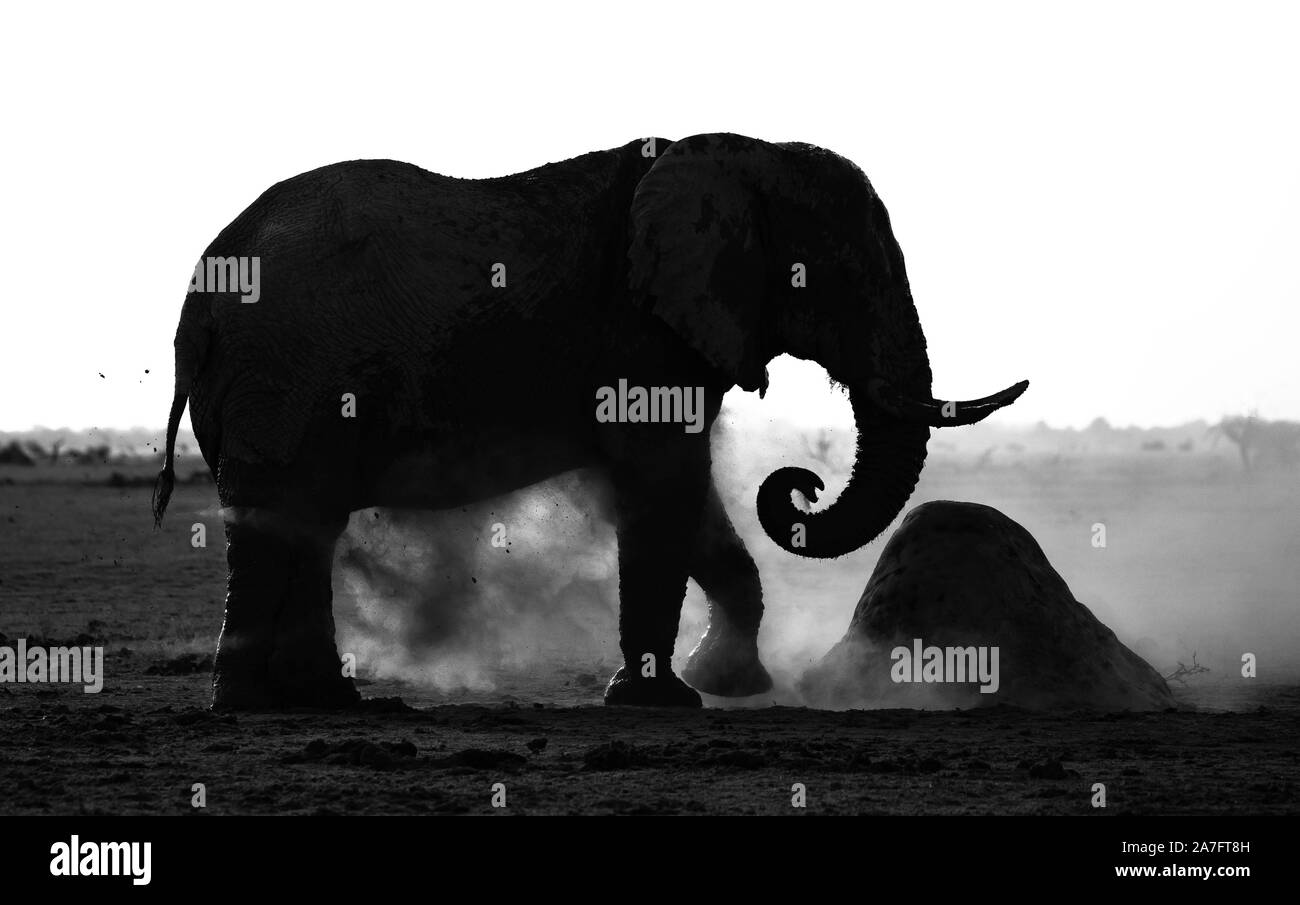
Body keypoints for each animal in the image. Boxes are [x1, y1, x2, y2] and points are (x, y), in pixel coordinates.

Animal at [152, 132, 1024, 712]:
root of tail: (203, 291)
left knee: (307, 521)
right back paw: (254, 705)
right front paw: (659, 704)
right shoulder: (641, 330)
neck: (739, 153)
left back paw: (322, 702)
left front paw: (728, 687)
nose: (800, 486)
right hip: (289, 371)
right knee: (278, 522)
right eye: (834, 278)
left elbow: (686, 500)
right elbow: (663, 488)